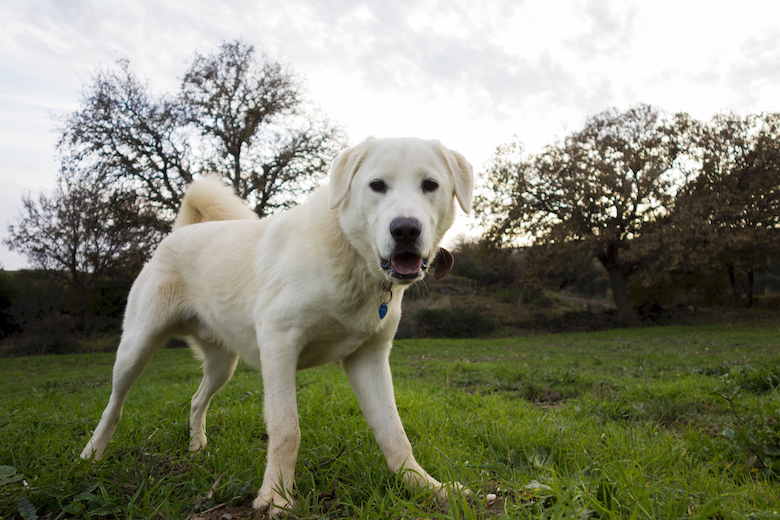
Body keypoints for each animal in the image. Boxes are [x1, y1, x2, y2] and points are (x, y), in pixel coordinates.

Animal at [79, 136, 472, 512]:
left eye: (430, 185)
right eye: (377, 185)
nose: (405, 229)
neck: (350, 254)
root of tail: (178, 233)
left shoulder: (369, 359)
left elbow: (394, 434)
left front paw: (428, 488)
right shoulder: (280, 345)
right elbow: (286, 429)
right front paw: (276, 498)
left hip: (223, 365)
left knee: (195, 400)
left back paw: (197, 447)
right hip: (136, 348)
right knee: (113, 406)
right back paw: (91, 456)